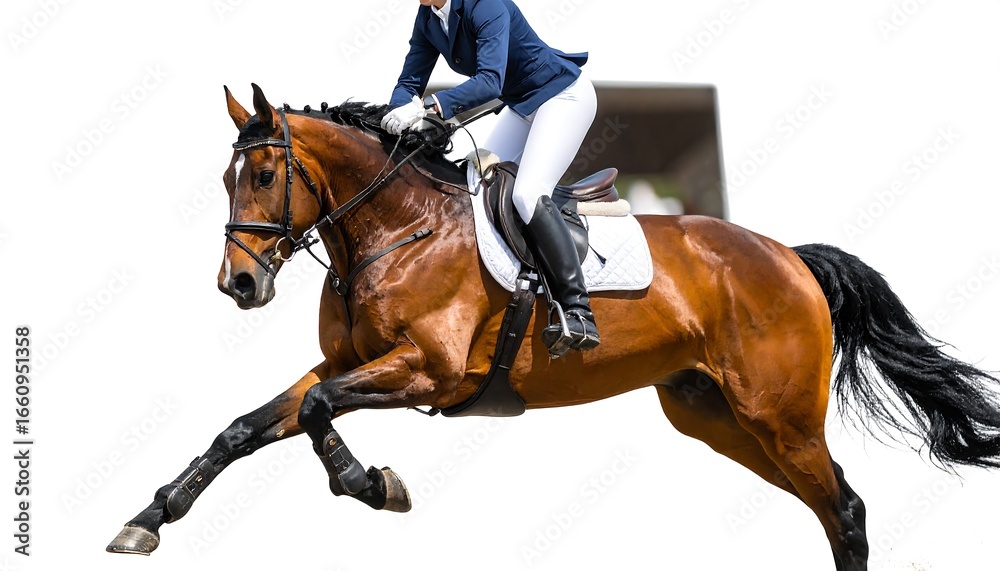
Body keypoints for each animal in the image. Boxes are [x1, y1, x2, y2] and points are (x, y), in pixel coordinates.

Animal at [107, 84, 1000, 570]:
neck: (388, 230)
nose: (239, 283)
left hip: (778, 416)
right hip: (721, 418)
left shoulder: (428, 369)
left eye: (263, 174)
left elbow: (323, 415)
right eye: (227, 177)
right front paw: (146, 520)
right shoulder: (344, 363)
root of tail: (788, 255)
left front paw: (376, 484)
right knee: (831, 505)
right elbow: (245, 427)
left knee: (844, 508)